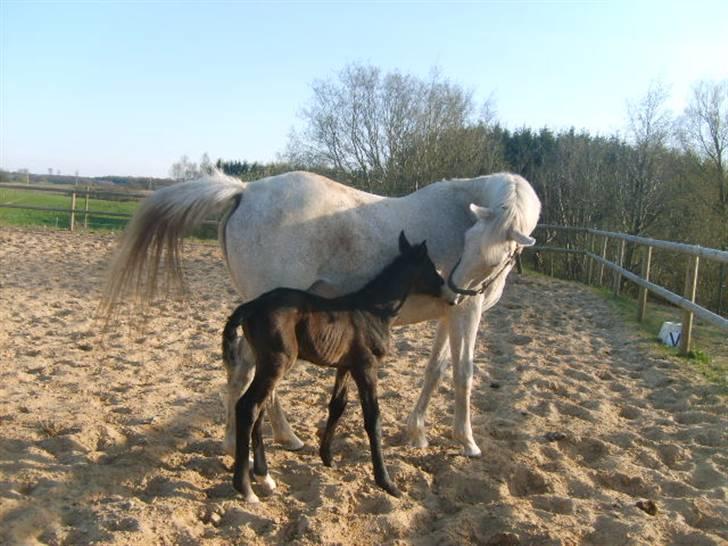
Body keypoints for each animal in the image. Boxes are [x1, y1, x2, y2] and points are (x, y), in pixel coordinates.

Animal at [105, 169, 544, 454]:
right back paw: (268, 438)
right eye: (469, 243)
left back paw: (258, 439)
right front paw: (466, 441)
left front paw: (416, 433)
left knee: (243, 371)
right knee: (251, 372)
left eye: (491, 254)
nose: (453, 289)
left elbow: (435, 370)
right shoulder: (468, 313)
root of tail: (245, 191)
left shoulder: (449, 315)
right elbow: (463, 374)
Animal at [223, 231, 444, 502]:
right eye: (431, 266)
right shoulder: (366, 367)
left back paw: (265, 477)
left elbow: (337, 405)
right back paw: (246, 488)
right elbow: (373, 418)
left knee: (259, 409)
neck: (372, 310)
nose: (445, 287)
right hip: (277, 363)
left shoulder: (345, 366)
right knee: (248, 407)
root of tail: (251, 306)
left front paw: (327, 457)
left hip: (268, 365)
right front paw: (387, 483)